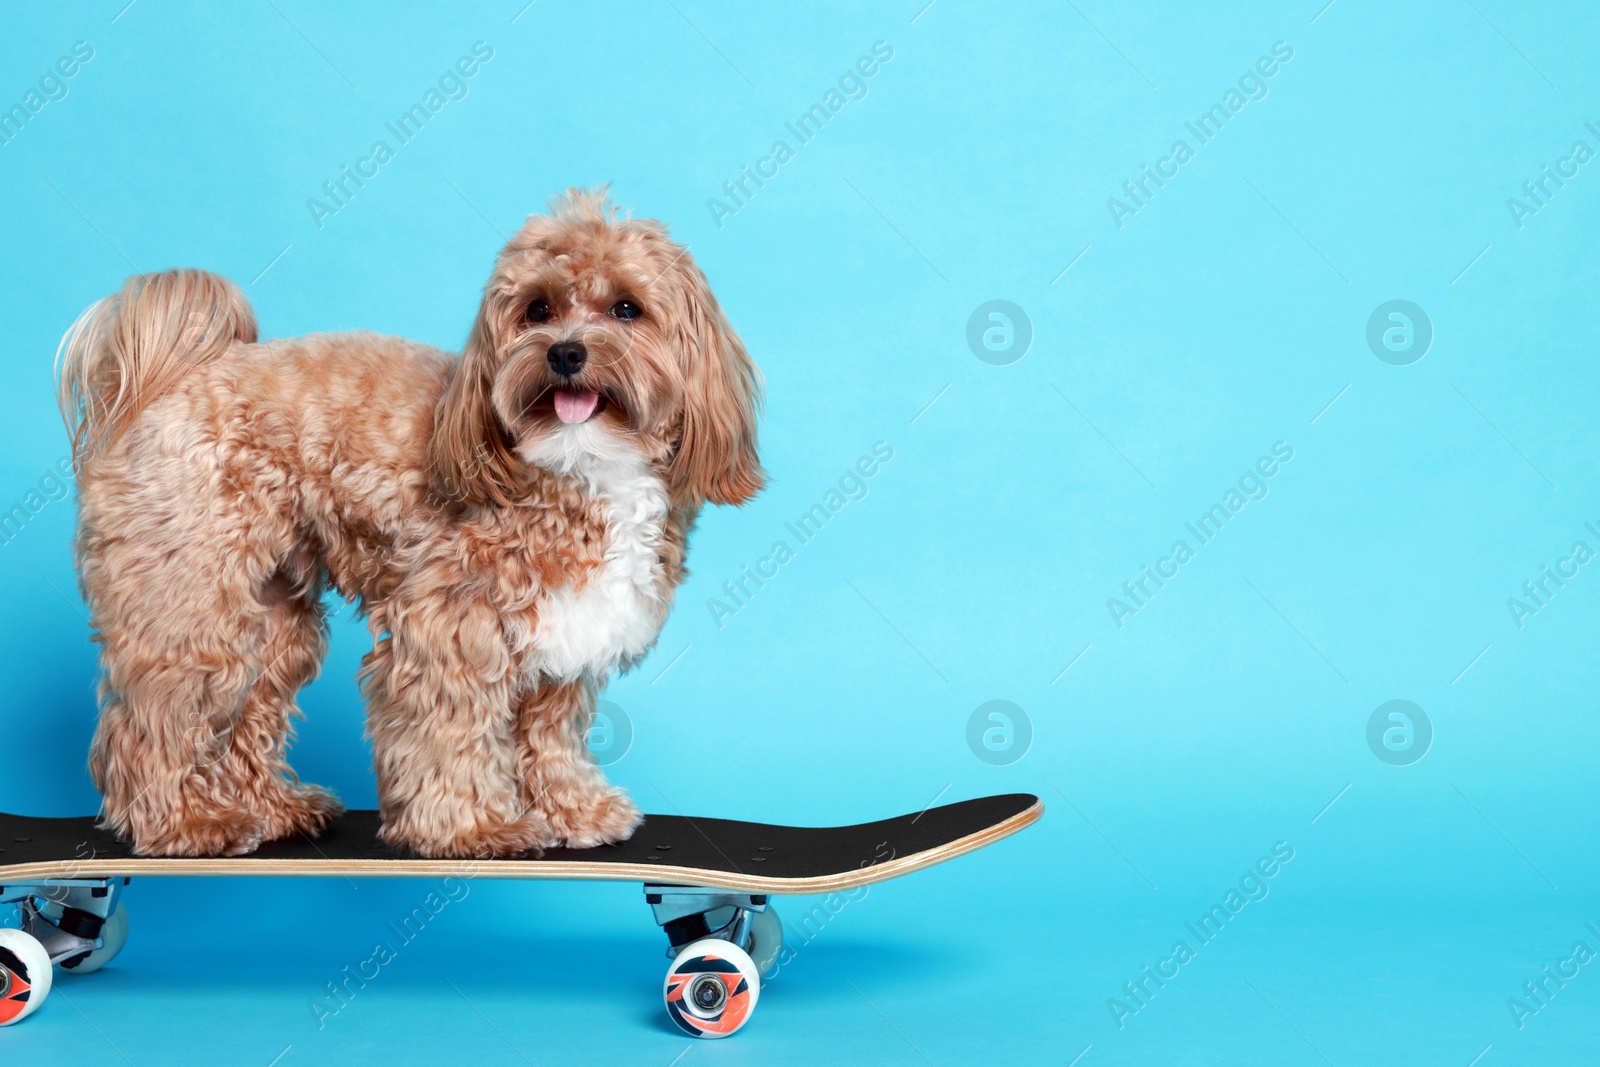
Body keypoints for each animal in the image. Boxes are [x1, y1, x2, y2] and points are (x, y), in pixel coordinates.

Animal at [53, 189, 764, 857]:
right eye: (537, 310)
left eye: (626, 309)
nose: (565, 353)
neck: (577, 465)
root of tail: (172, 380)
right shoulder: (450, 622)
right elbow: (451, 731)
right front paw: (474, 828)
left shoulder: (566, 631)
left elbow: (551, 730)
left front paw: (572, 810)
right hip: (193, 603)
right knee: (155, 722)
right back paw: (185, 821)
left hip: (273, 618)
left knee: (247, 711)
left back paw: (271, 809)